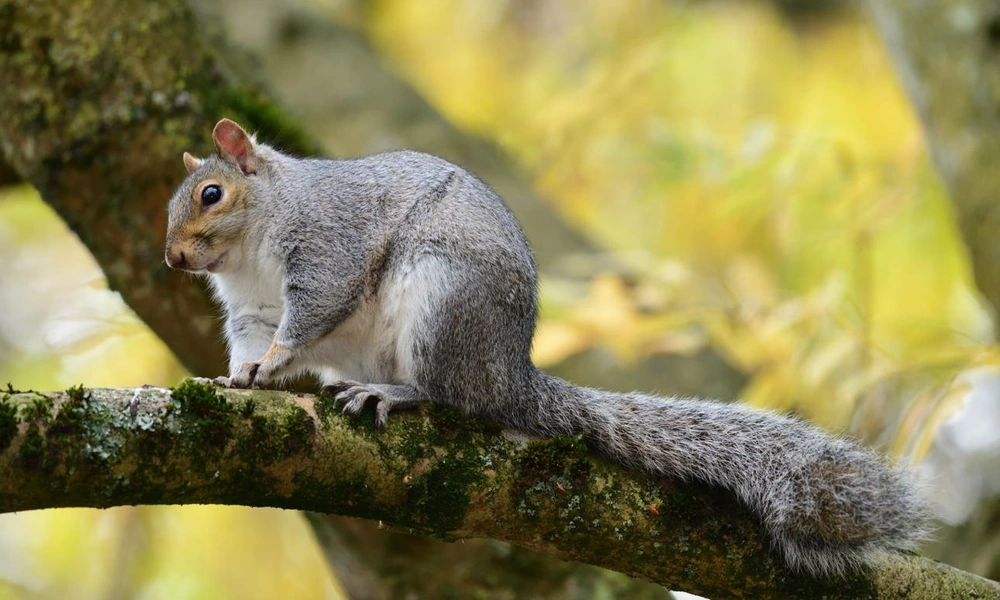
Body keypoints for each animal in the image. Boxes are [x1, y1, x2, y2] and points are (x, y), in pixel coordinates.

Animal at [165, 118, 930, 576]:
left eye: (211, 194)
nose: (172, 259)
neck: (254, 246)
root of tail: (513, 377)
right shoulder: (252, 308)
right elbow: (251, 340)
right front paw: (242, 375)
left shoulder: (328, 246)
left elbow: (314, 312)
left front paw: (275, 362)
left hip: (443, 304)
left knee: (455, 399)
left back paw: (397, 391)